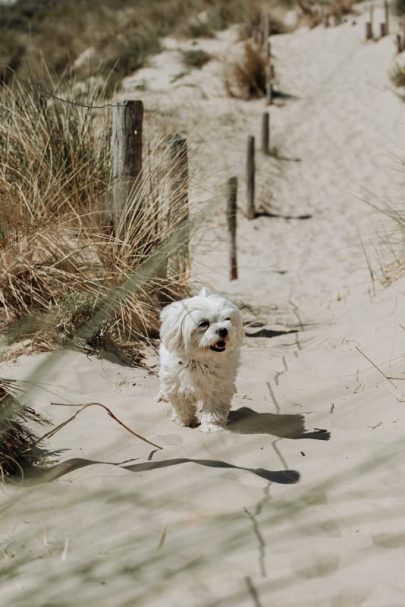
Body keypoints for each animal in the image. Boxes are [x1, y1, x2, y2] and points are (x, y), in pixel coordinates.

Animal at [158, 288, 243, 432]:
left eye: (227, 319)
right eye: (203, 324)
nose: (223, 330)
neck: (201, 360)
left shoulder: (218, 387)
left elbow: (214, 408)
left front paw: (211, 426)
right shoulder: (175, 383)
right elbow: (181, 403)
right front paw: (185, 421)